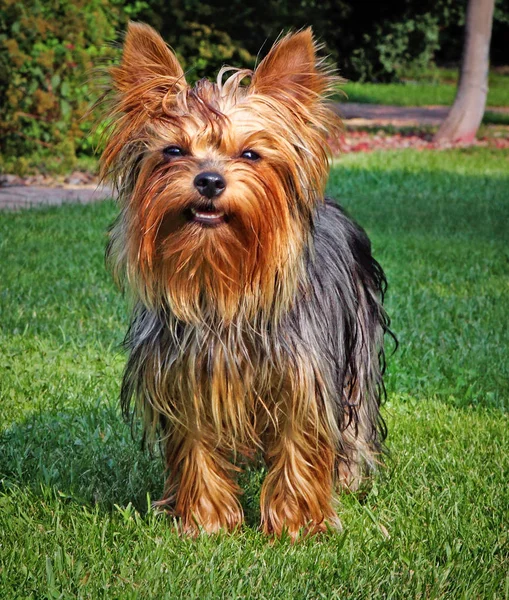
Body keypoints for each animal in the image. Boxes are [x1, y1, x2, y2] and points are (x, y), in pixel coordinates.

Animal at [102, 22, 388, 540]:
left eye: (251, 154)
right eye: (174, 150)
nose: (210, 180)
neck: (225, 285)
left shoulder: (304, 374)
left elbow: (300, 442)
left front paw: (297, 526)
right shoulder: (185, 375)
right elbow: (195, 444)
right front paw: (205, 520)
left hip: (357, 341)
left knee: (355, 418)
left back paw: (350, 476)